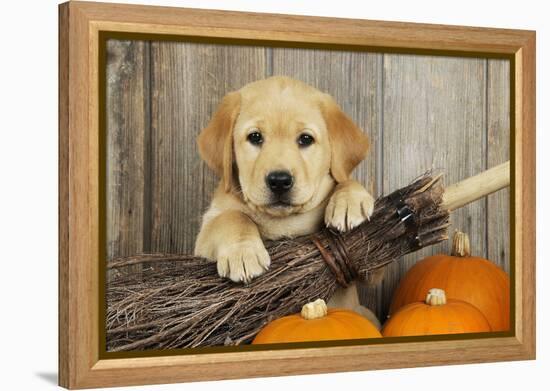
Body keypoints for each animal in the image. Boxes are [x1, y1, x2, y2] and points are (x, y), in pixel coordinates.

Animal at [196, 76, 382, 324]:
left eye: (305, 139)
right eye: (255, 137)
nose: (279, 181)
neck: (284, 220)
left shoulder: (369, 268)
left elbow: (344, 180)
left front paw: (349, 200)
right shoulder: (202, 239)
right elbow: (232, 217)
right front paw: (243, 252)